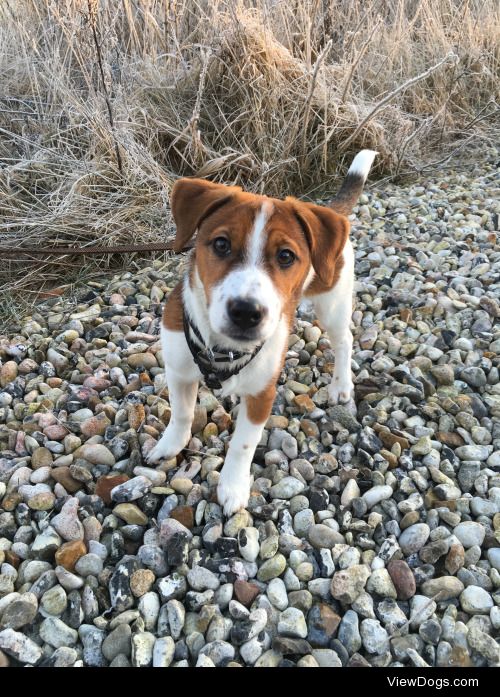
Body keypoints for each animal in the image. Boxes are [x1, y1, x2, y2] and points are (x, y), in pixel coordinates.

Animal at [146, 148, 376, 516]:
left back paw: (341, 385)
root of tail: (331, 211)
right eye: (221, 244)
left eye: (286, 256)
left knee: (344, 341)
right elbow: (181, 414)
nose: (246, 312)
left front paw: (232, 487)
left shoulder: (261, 393)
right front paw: (170, 445)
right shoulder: (179, 371)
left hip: (333, 303)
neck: (222, 348)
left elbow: (243, 444)